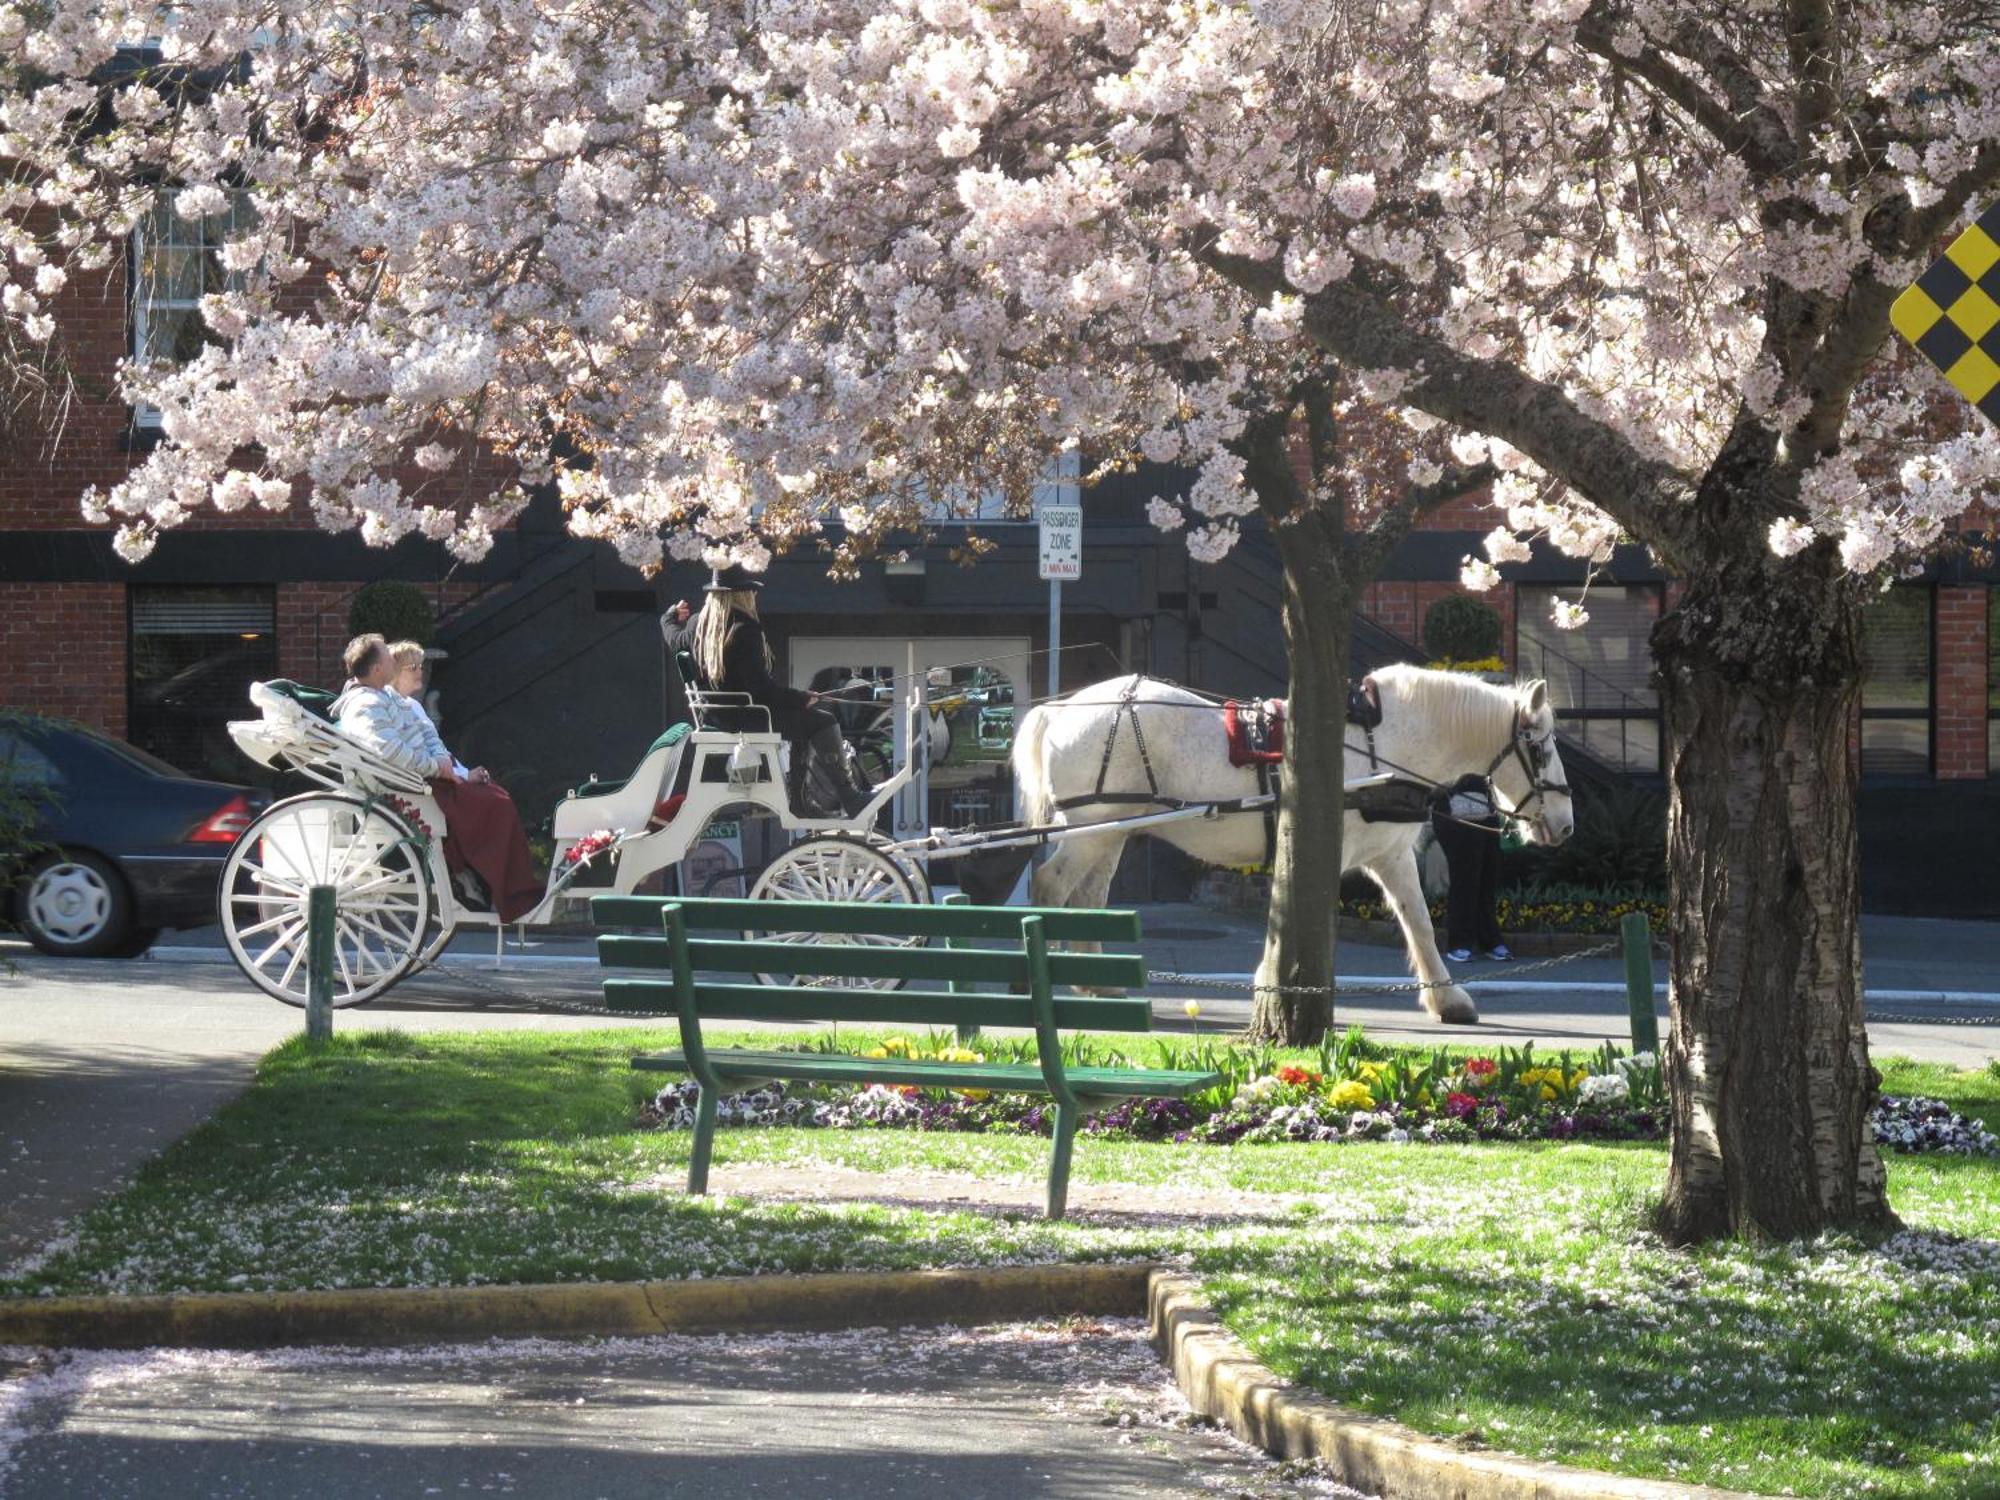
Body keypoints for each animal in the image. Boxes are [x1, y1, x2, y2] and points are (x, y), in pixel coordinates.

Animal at [1016, 672, 1576, 1032]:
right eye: (1543, 748)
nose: (1567, 825)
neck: (1382, 741)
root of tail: (1060, 709)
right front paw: (1278, 985)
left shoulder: (1391, 855)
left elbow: (1418, 921)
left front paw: (1446, 998)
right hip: (1091, 830)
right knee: (1051, 885)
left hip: (1108, 831)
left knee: (1088, 898)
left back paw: (1097, 983)